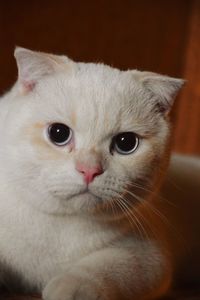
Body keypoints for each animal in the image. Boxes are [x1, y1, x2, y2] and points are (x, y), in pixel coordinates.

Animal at [0, 47, 199, 300]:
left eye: (126, 143)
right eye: (58, 133)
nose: (90, 170)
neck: (59, 228)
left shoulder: (148, 254)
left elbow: (104, 267)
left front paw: (70, 287)